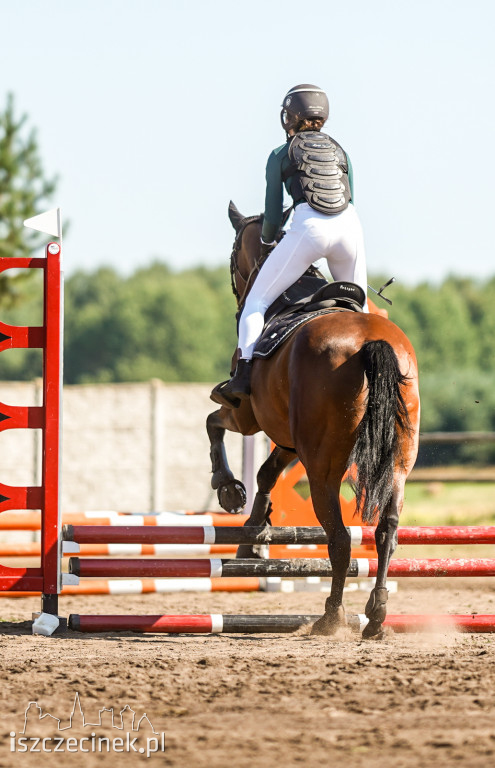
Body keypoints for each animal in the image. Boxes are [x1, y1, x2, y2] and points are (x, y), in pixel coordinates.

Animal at [207, 201, 420, 640]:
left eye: (233, 256)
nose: (237, 292)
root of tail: (372, 343)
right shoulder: (289, 440)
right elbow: (267, 474)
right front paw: (253, 538)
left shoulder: (247, 416)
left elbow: (214, 423)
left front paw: (228, 489)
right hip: (398, 463)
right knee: (387, 531)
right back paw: (375, 615)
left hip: (322, 467)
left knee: (339, 538)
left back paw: (331, 617)